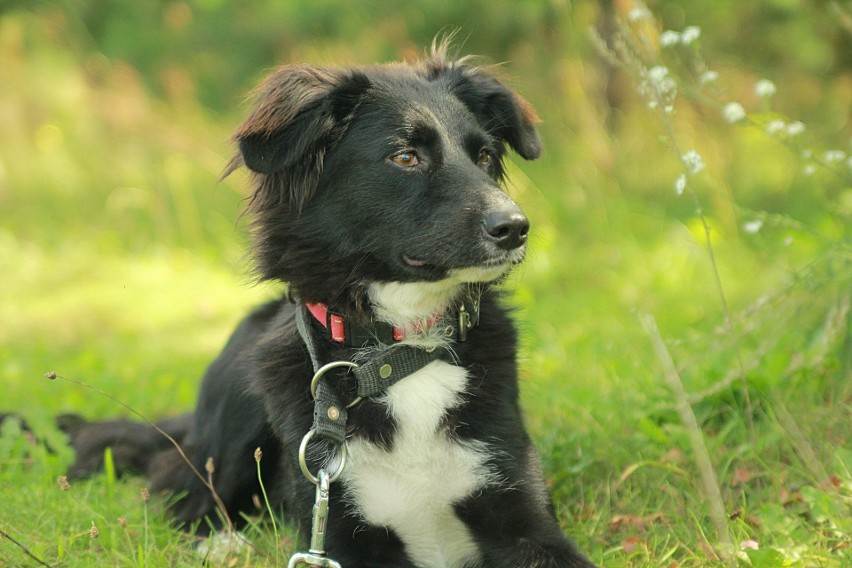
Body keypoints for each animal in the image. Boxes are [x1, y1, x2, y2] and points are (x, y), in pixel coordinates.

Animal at [56, 42, 596, 564]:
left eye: (483, 156)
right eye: (405, 157)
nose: (515, 228)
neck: (402, 347)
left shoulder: (522, 516)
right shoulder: (337, 528)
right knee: (185, 493)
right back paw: (223, 542)